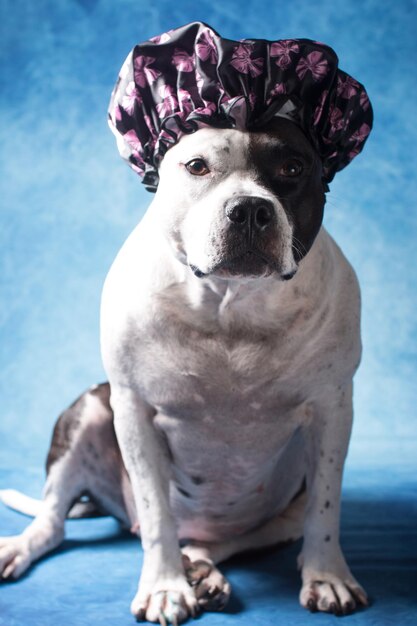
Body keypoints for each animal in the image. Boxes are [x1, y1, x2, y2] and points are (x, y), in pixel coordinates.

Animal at [1, 116, 368, 620]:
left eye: (293, 167)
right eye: (197, 166)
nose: (250, 209)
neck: (231, 302)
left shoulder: (332, 408)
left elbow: (326, 507)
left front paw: (327, 576)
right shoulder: (133, 410)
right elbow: (157, 513)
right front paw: (164, 586)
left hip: (278, 518)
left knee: (215, 542)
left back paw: (205, 572)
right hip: (88, 410)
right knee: (54, 522)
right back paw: (21, 546)